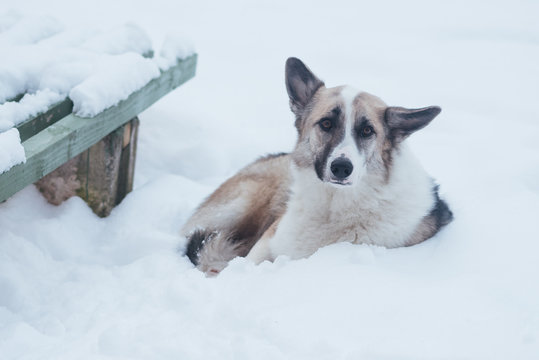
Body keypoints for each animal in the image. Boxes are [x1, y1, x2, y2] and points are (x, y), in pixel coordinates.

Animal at [180, 57, 452, 274]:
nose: (341, 168)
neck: (334, 207)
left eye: (367, 131)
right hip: (240, 205)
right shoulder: (267, 243)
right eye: (326, 123)